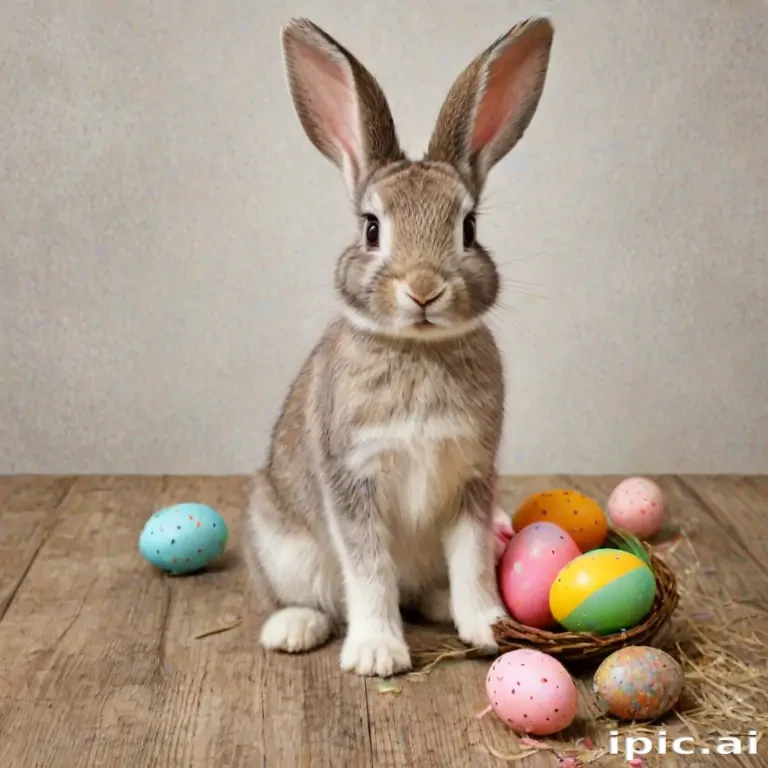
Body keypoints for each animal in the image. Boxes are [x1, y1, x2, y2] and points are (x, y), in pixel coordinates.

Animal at [245, 16, 554, 677]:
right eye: (370, 228)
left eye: (469, 228)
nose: (424, 288)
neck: (418, 349)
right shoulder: (353, 479)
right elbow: (369, 573)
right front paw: (376, 654)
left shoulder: (471, 482)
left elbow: (471, 562)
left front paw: (489, 628)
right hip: (281, 544)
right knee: (306, 597)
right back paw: (293, 628)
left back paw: (439, 605)